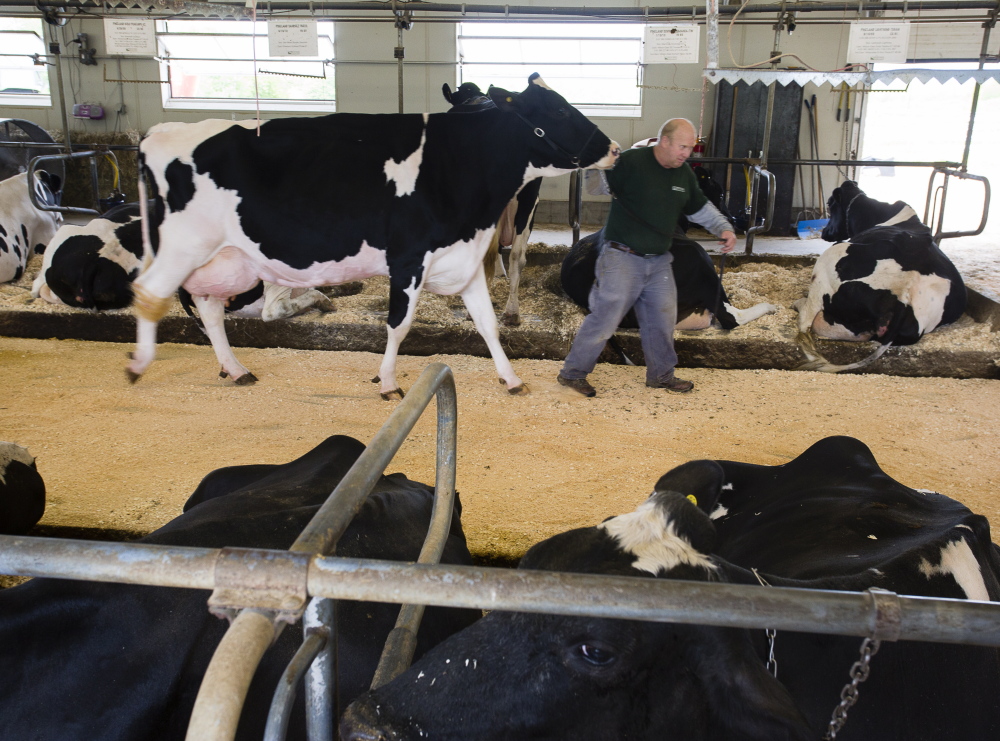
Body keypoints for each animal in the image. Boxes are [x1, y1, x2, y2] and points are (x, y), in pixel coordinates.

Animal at [130, 75, 620, 398]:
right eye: (559, 109)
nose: (614, 148)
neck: (458, 163)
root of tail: (159, 133)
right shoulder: (408, 259)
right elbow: (399, 324)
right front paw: (386, 381)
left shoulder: (460, 257)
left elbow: (488, 323)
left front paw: (512, 378)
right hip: (183, 249)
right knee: (150, 293)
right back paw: (139, 365)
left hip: (223, 260)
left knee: (209, 311)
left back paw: (235, 369)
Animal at [792, 179, 964, 372]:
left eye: (830, 204)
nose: (824, 232)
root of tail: (904, 293)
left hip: (830, 258)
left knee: (806, 321)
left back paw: (799, 304)